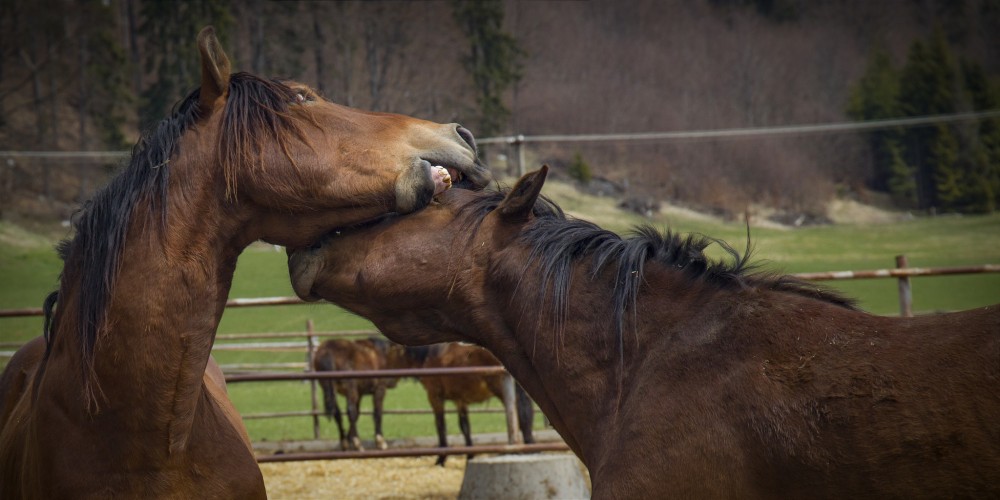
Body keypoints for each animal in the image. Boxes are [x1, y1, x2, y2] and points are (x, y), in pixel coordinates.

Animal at [386, 344, 536, 464]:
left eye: (391, 352)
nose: (389, 383)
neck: (429, 356)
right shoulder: (460, 400)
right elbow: (465, 427)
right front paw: (470, 455)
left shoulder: (435, 397)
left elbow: (440, 425)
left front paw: (441, 459)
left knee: (518, 414)